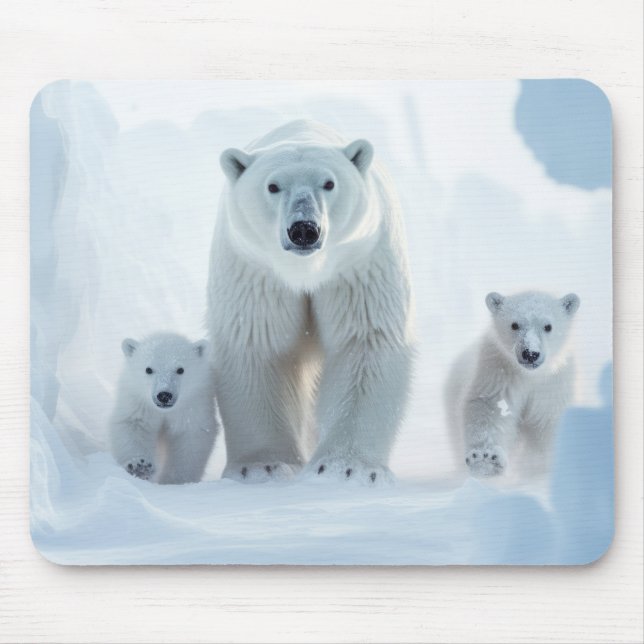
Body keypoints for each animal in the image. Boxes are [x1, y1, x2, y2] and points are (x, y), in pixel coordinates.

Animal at [109, 332, 219, 484]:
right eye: (148, 369)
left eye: (180, 369)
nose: (164, 395)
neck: (164, 411)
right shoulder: (138, 401)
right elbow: (133, 426)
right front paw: (140, 466)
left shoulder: (192, 404)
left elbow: (190, 439)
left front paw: (175, 480)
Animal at [207, 120, 415, 484]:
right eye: (273, 186)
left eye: (329, 183)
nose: (304, 229)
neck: (305, 271)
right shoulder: (257, 273)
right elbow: (258, 346)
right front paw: (262, 466)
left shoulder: (359, 265)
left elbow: (364, 343)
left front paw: (346, 467)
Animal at [444, 291, 580, 479]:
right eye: (514, 325)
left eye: (548, 326)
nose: (530, 353)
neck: (531, 375)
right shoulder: (499, 370)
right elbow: (491, 407)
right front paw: (486, 459)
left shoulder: (554, 383)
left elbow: (548, 419)